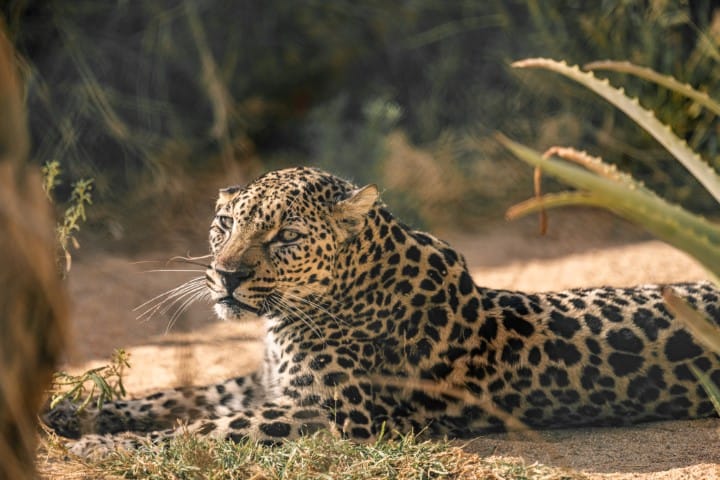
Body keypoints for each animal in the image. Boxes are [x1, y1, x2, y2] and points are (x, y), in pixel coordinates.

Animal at [46, 166, 720, 458]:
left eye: (285, 236)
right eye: (225, 225)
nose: (226, 275)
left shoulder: (333, 415)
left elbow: (205, 429)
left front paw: (101, 449)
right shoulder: (268, 382)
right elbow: (178, 397)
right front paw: (74, 414)